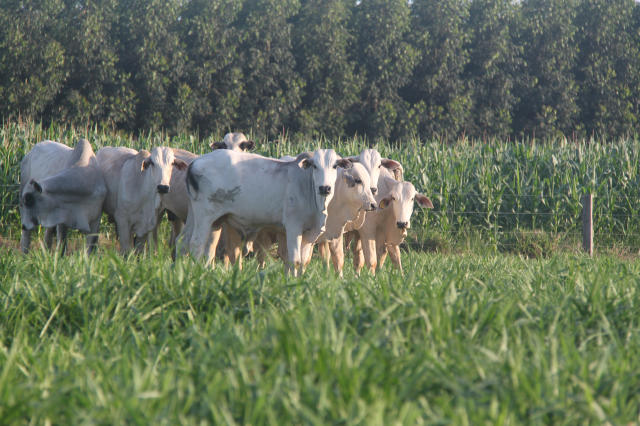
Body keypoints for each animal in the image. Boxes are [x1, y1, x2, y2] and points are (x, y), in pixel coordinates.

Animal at [181, 149, 350, 276]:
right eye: (314, 166)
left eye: (335, 166)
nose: (324, 188)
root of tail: (195, 163)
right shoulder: (293, 227)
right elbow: (295, 260)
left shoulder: (310, 233)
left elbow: (304, 261)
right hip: (204, 216)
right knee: (196, 244)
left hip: (199, 217)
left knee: (185, 243)